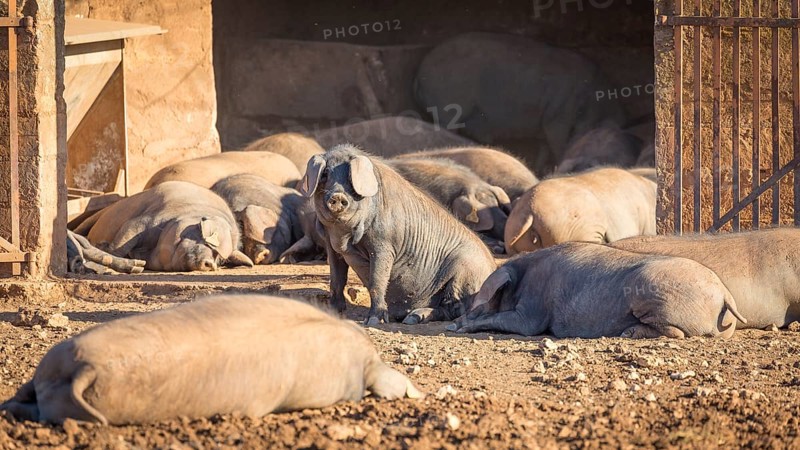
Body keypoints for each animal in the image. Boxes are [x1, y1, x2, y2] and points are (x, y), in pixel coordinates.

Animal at [74, 181, 253, 272]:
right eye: (207, 241)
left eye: (221, 259)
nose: (211, 264)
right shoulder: (146, 219)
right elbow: (124, 239)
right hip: (103, 212)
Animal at [301, 145, 496, 325]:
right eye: (325, 174)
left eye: (350, 178)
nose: (338, 197)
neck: (342, 235)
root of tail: (492, 268)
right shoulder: (332, 246)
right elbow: (337, 280)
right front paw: (332, 312)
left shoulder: (384, 245)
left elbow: (377, 281)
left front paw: (374, 321)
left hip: (464, 273)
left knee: (453, 309)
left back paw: (413, 317)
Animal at [414, 32, 625, 175]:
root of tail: (419, 74)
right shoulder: (559, 115)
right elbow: (558, 143)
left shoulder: (547, 123)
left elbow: (545, 147)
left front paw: (539, 170)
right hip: (448, 107)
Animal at [448, 242, 746, 338]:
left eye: (484, 299)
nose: (453, 320)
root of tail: (724, 295)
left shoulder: (532, 312)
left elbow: (518, 323)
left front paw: (458, 327)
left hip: (651, 290)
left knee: (677, 332)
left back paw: (628, 333)